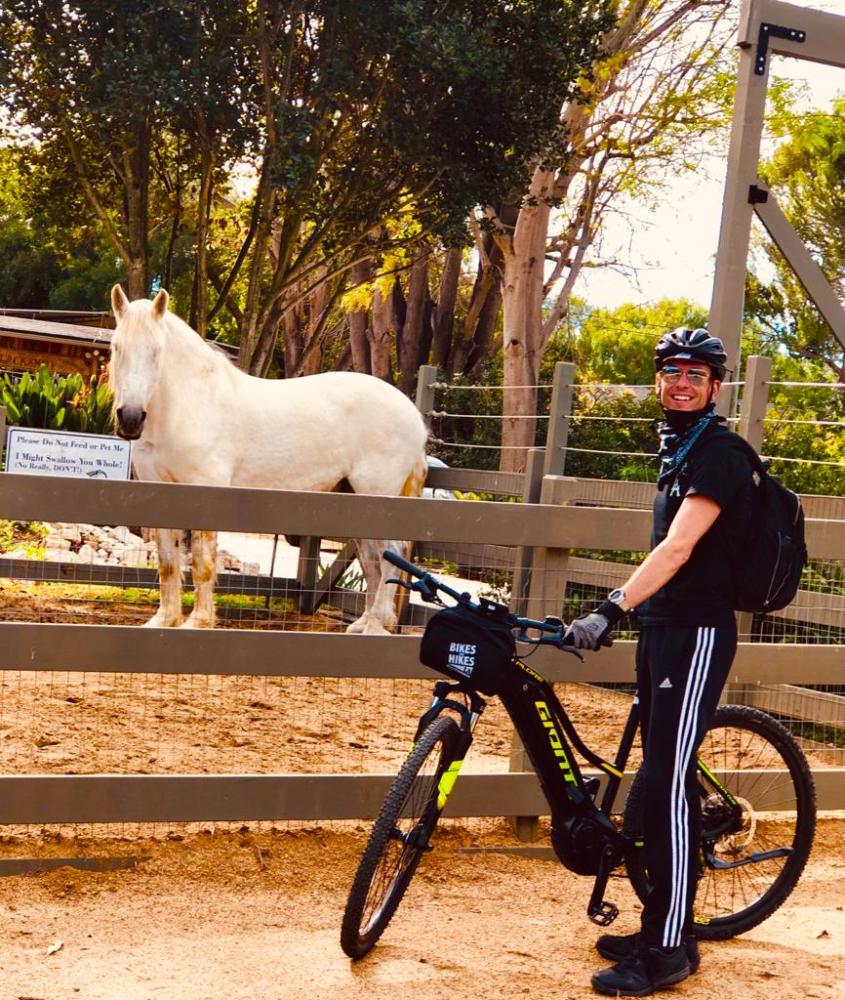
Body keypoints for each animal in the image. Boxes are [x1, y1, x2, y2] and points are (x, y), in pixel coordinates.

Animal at [108, 285, 429, 635]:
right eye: (116, 347)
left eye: (157, 351)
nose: (130, 418)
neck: (190, 406)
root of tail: (414, 415)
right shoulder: (161, 492)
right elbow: (168, 562)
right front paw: (164, 620)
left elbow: (203, 562)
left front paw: (199, 622)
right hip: (358, 501)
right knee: (372, 559)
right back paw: (363, 623)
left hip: (378, 496)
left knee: (390, 555)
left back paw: (377, 626)